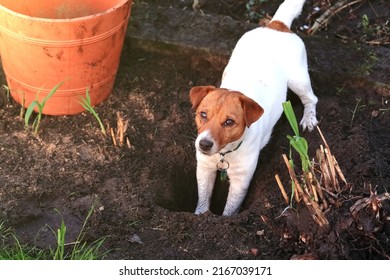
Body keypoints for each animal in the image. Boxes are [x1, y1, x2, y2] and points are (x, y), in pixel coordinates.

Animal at [190, 0, 320, 217]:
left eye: (229, 122)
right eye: (203, 114)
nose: (204, 144)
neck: (224, 154)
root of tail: (276, 25)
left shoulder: (241, 181)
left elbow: (230, 209)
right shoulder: (204, 169)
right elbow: (202, 197)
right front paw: (201, 215)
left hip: (298, 79)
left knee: (311, 98)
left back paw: (309, 118)